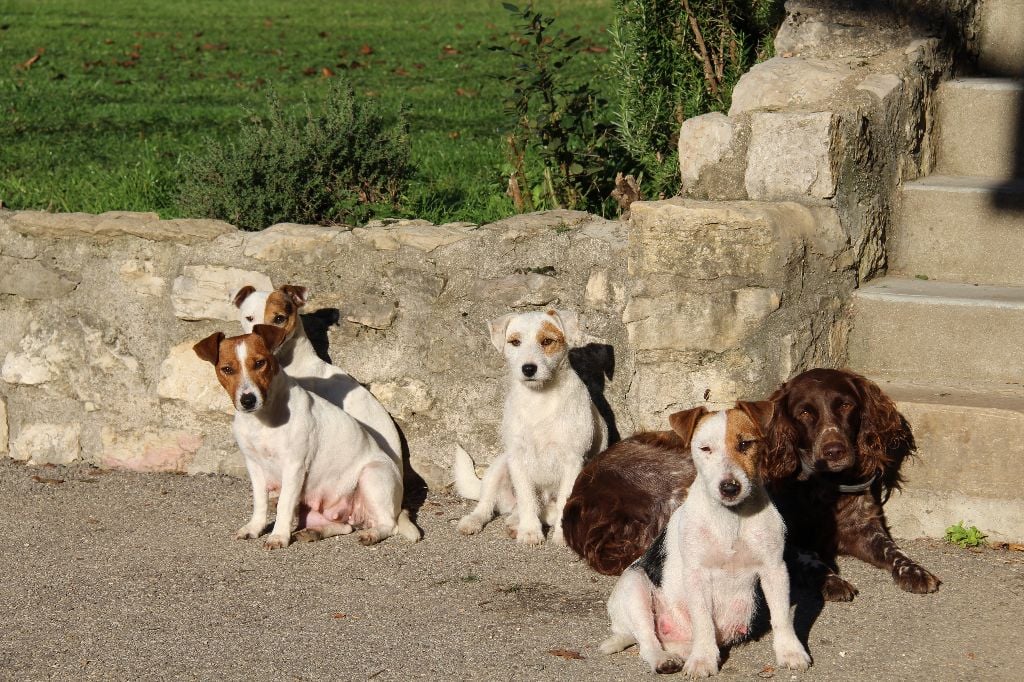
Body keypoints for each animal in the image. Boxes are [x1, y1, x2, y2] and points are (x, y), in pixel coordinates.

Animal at [192, 323, 419, 548]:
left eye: (259, 363)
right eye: (227, 369)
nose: (248, 400)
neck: (261, 420)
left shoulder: (294, 466)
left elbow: (283, 505)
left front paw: (278, 536)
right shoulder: (254, 466)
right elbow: (260, 502)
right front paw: (254, 528)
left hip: (372, 475)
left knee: (389, 524)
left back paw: (371, 534)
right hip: (316, 509)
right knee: (345, 526)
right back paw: (314, 532)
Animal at [452, 311, 602, 544]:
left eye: (547, 341)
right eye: (515, 342)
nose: (529, 368)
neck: (539, 399)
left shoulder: (573, 461)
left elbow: (564, 502)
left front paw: (561, 536)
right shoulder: (518, 458)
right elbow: (527, 499)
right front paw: (530, 531)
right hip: (499, 466)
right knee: (488, 504)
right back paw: (478, 521)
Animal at [565, 368, 937, 598]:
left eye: (845, 404)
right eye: (805, 412)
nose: (835, 450)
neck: (823, 487)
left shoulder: (865, 529)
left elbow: (894, 551)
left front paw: (915, 571)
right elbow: (806, 555)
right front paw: (831, 579)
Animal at [598, 403, 806, 675]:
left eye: (745, 444)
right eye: (705, 448)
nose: (729, 488)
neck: (731, 518)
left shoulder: (774, 569)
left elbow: (781, 616)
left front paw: (790, 651)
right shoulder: (696, 575)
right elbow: (703, 621)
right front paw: (703, 661)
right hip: (634, 586)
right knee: (647, 641)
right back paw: (664, 659)